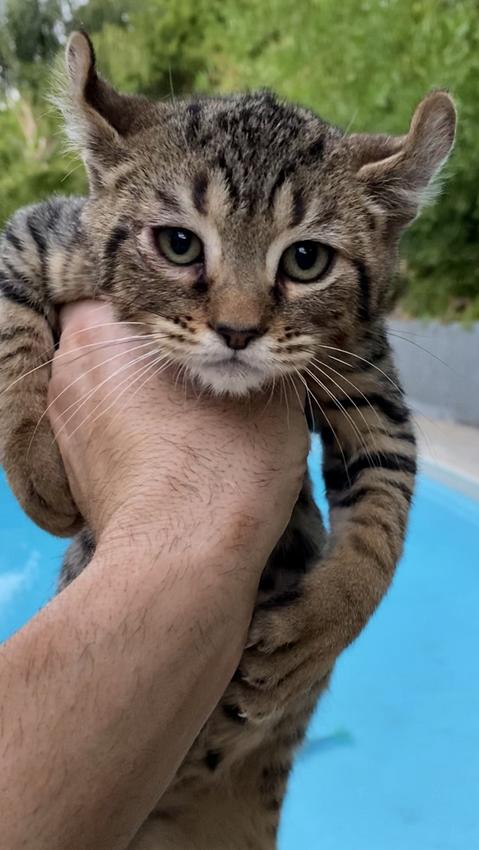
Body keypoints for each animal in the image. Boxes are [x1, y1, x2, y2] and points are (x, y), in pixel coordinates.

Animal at [0, 31, 458, 848]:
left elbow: (383, 518)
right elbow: (12, 323)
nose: (238, 330)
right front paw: (34, 463)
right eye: (179, 245)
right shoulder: (45, 232)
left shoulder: (365, 371)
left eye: (306, 260)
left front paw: (318, 629)